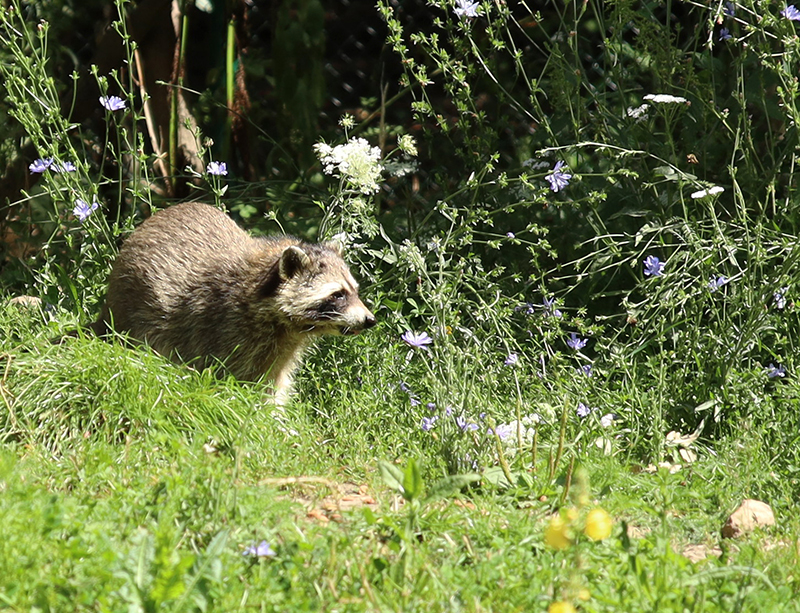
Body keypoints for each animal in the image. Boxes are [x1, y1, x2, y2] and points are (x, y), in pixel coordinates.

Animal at [95, 201, 376, 402]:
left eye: (355, 291)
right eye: (338, 294)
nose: (370, 320)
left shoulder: (279, 350)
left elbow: (273, 385)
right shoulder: (223, 326)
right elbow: (224, 378)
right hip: (136, 308)